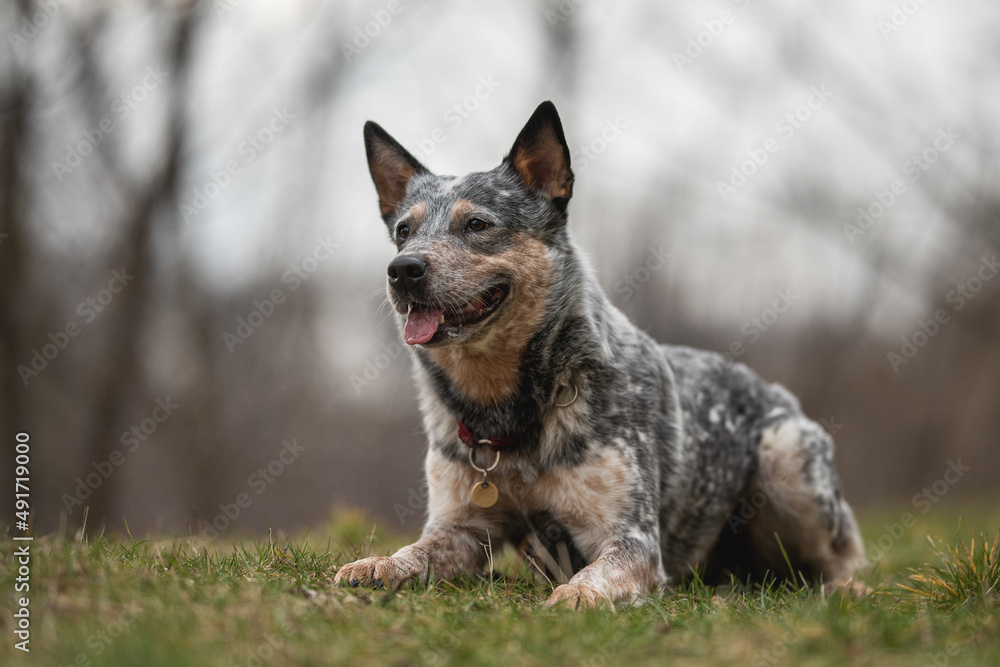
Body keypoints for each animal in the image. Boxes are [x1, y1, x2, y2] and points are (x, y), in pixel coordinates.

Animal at [332, 102, 864, 608]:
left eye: (477, 224)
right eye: (404, 231)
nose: (402, 269)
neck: (508, 414)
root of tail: (774, 390)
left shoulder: (631, 537)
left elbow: (599, 573)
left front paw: (578, 594)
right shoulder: (461, 527)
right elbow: (416, 550)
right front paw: (377, 563)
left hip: (787, 455)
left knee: (844, 558)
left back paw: (848, 588)